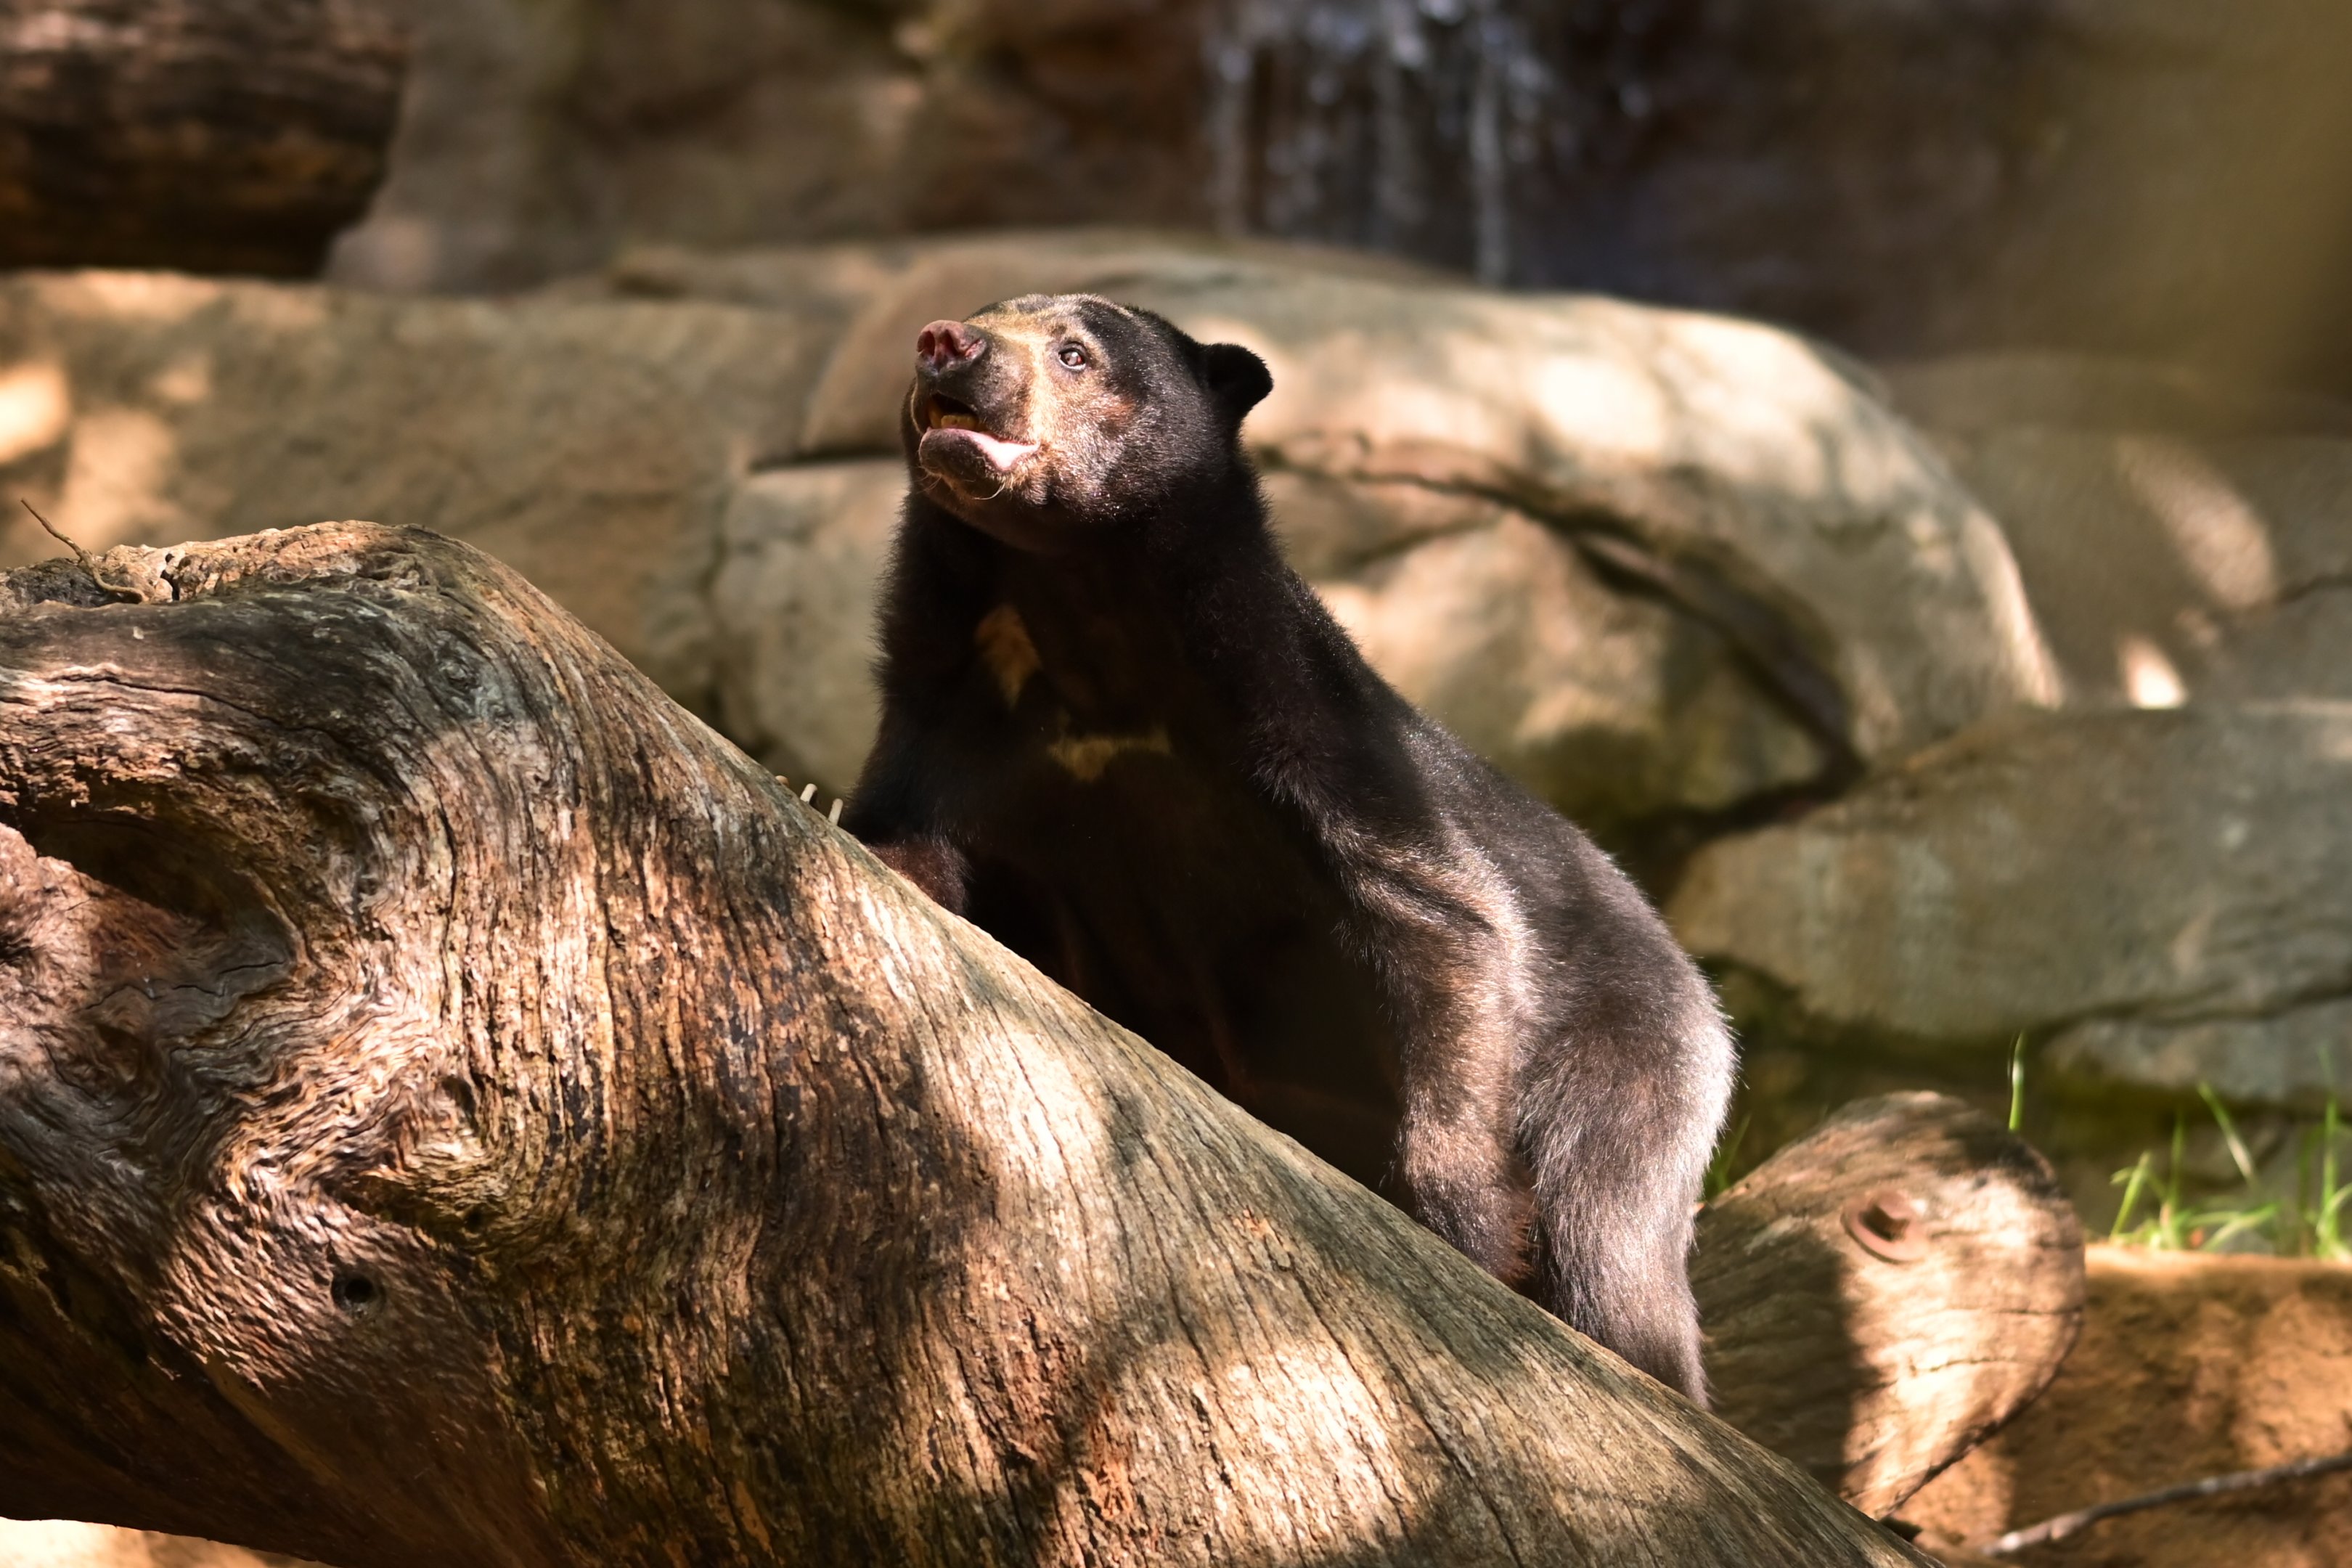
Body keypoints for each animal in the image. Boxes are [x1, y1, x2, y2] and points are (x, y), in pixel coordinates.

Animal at [841, 293, 1736, 1403]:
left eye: (1075, 353)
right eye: (989, 317)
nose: (945, 344)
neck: (1075, 613)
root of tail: (1694, 986)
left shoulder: (1307, 721)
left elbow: (1442, 922)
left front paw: (1461, 1222)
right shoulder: (948, 710)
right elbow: (904, 837)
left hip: (1635, 1059)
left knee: (1609, 1248)